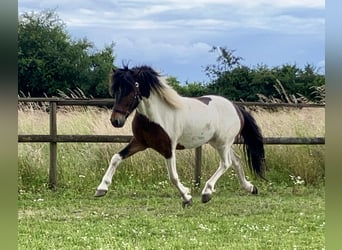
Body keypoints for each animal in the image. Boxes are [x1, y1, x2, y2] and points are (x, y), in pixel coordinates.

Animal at [95, 65, 266, 207]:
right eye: (116, 90)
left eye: (130, 89)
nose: (116, 121)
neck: (156, 116)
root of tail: (236, 107)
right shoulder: (140, 142)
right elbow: (116, 158)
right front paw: (101, 189)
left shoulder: (168, 148)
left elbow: (173, 176)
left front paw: (187, 197)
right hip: (219, 143)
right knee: (236, 161)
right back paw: (250, 188)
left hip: (223, 143)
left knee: (226, 163)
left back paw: (207, 193)